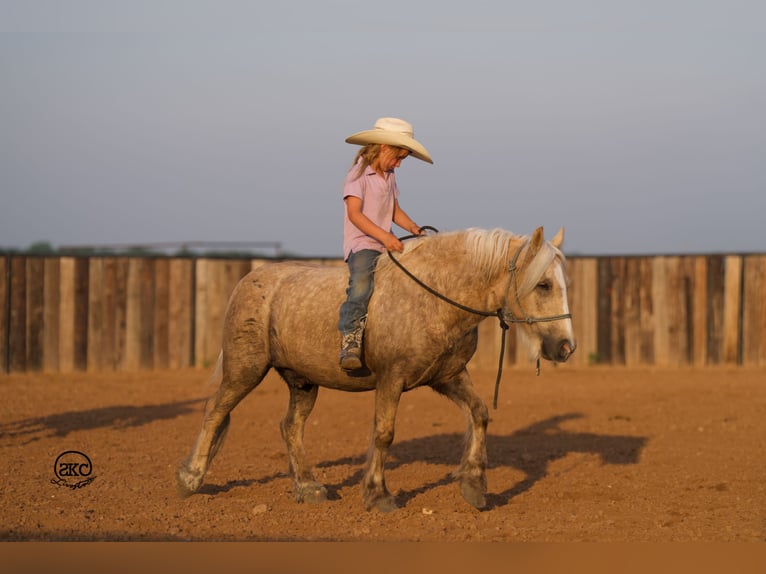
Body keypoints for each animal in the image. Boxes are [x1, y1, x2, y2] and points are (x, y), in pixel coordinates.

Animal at [178, 226, 576, 512]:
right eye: (543, 284)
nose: (565, 347)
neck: (434, 297)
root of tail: (249, 281)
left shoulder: (448, 377)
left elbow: (479, 414)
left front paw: (475, 486)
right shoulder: (391, 379)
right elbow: (384, 434)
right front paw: (378, 494)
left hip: (302, 381)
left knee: (290, 426)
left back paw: (308, 486)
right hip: (244, 369)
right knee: (214, 412)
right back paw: (190, 478)